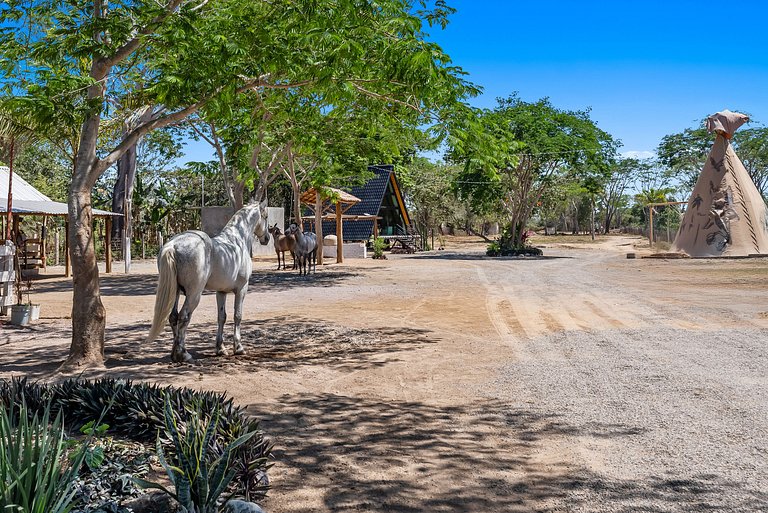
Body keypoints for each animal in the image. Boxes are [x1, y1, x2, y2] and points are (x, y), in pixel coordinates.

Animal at [147, 199, 271, 363]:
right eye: (266, 216)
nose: (267, 238)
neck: (237, 240)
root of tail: (172, 246)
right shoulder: (242, 289)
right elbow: (237, 316)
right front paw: (238, 348)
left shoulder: (221, 292)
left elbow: (221, 317)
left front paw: (220, 348)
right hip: (194, 295)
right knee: (183, 316)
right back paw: (183, 354)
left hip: (175, 292)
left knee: (173, 317)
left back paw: (175, 354)